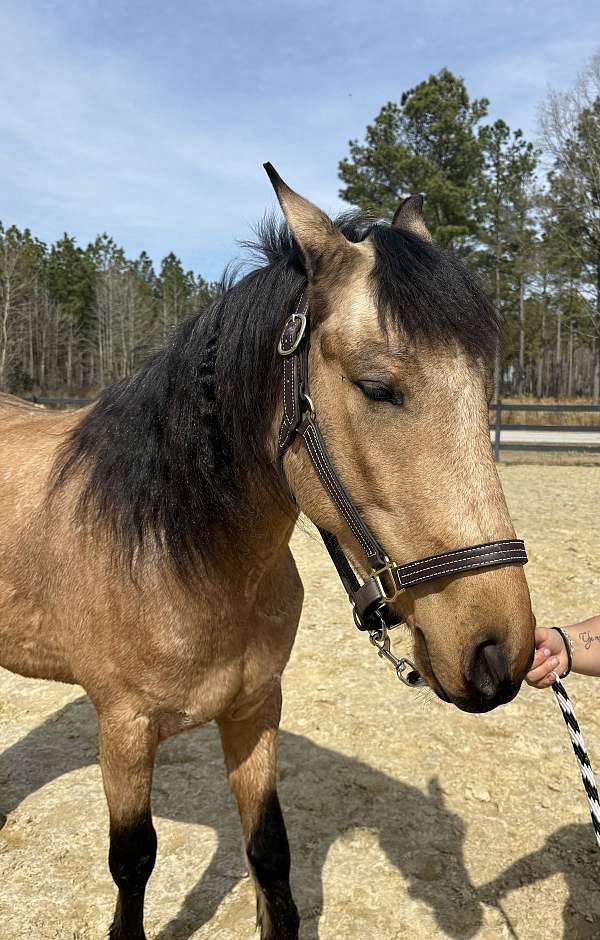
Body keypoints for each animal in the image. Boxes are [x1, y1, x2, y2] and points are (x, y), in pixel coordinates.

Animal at [0, 169, 536, 940]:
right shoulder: (124, 730)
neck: (185, 558)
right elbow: (132, 862)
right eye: (378, 387)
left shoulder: (255, 710)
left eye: (485, 387)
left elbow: (269, 854)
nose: (500, 651)